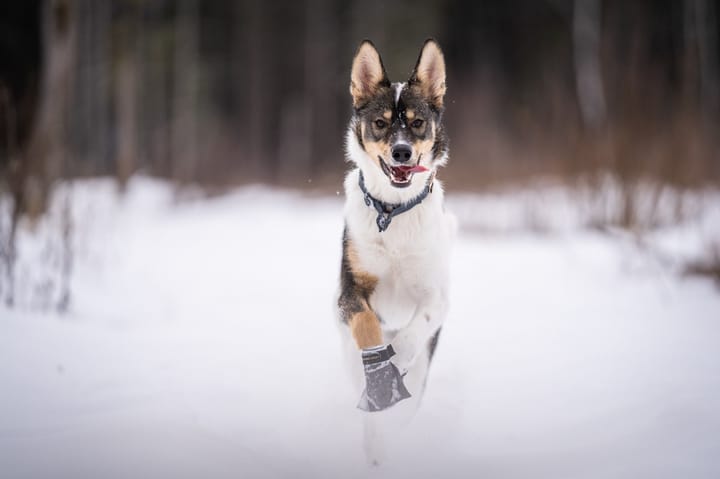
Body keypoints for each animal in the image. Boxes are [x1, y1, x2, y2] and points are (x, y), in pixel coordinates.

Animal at [338, 39, 456, 464]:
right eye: (381, 122)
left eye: (417, 123)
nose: (402, 153)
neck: (392, 211)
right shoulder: (350, 291)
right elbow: (367, 326)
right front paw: (380, 372)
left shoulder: (436, 297)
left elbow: (412, 333)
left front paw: (395, 364)